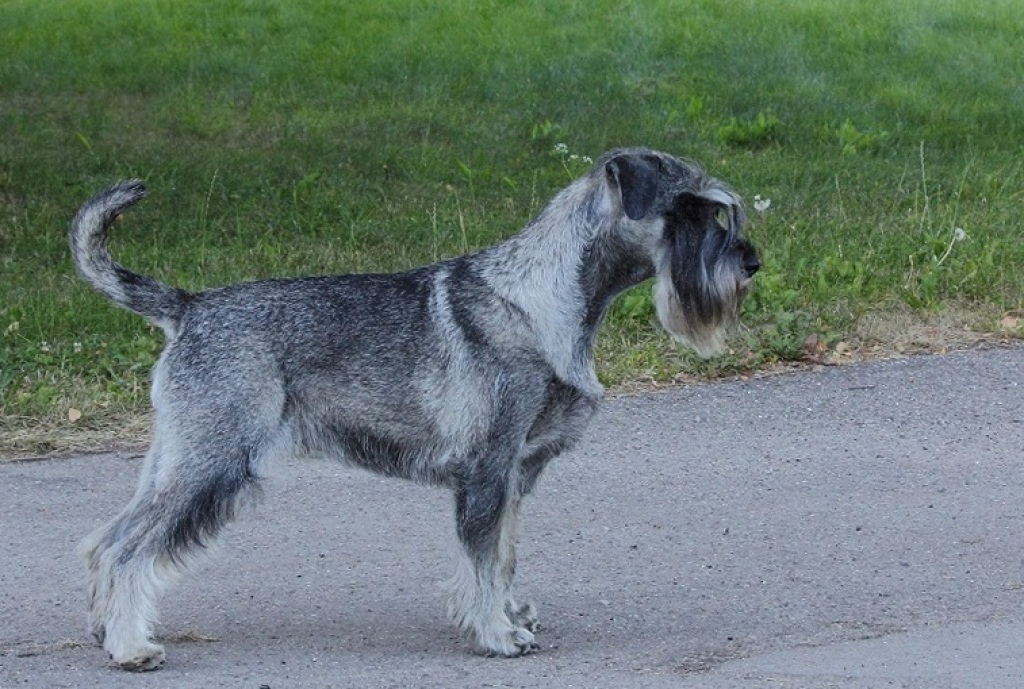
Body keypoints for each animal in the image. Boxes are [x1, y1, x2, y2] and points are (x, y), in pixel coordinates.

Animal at [71, 148, 759, 670]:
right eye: (690, 208)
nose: (751, 262)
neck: (543, 298)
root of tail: (189, 308)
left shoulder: (515, 474)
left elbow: (503, 556)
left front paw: (511, 614)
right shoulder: (486, 468)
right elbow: (481, 560)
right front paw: (497, 635)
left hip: (178, 458)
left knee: (106, 541)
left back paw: (110, 631)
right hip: (212, 463)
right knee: (128, 548)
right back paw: (131, 648)